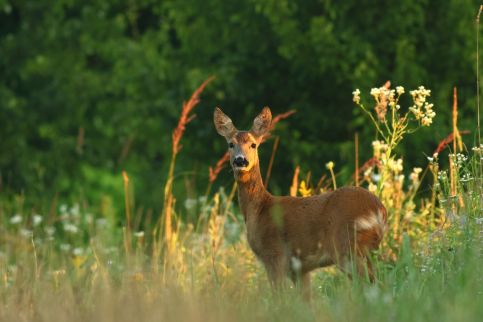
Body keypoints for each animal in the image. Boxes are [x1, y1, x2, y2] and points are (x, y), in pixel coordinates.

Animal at [214, 106, 388, 300]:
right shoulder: (299, 269)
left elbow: (279, 298)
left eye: (253, 144)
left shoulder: (274, 254)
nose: (240, 160)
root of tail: (378, 210)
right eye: (230, 144)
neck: (258, 210)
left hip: (347, 247)